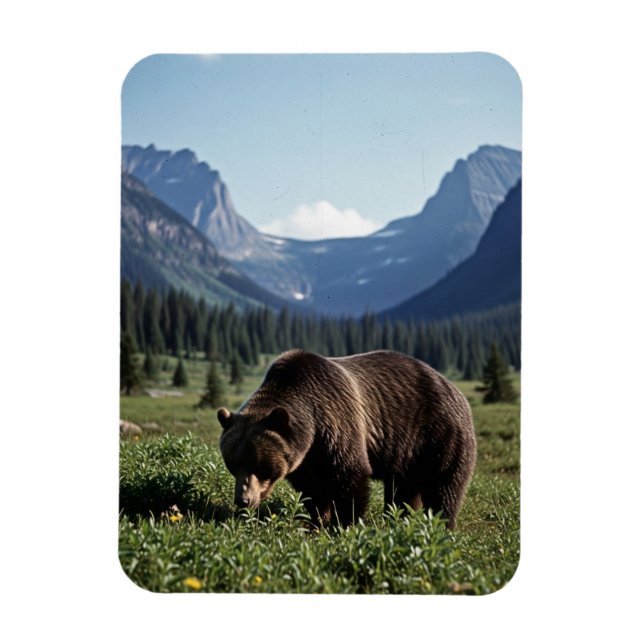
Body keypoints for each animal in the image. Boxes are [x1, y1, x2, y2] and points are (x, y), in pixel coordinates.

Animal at [217, 349, 477, 529]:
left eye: (260, 465)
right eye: (233, 464)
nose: (243, 500)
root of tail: (454, 389)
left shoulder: (336, 422)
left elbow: (350, 476)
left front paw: (344, 524)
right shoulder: (304, 459)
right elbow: (312, 489)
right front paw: (316, 520)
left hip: (439, 436)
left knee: (444, 486)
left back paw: (441, 525)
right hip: (409, 453)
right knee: (403, 488)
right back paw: (399, 519)